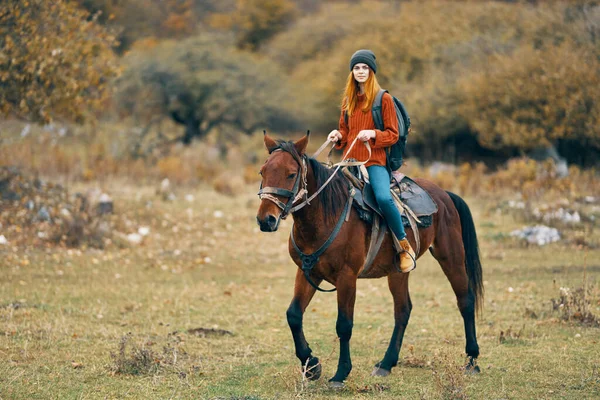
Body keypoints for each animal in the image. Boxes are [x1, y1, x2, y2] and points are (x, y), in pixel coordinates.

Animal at [256, 134, 482, 388]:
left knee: (465, 300)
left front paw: (340, 373)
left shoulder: (347, 277)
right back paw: (386, 364)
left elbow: (344, 325)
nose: (266, 220)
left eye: (291, 174)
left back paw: (472, 360)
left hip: (451, 256)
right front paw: (312, 365)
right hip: (398, 271)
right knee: (403, 310)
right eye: (262, 172)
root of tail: (444, 194)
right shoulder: (308, 272)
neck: (326, 216)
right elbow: (294, 315)